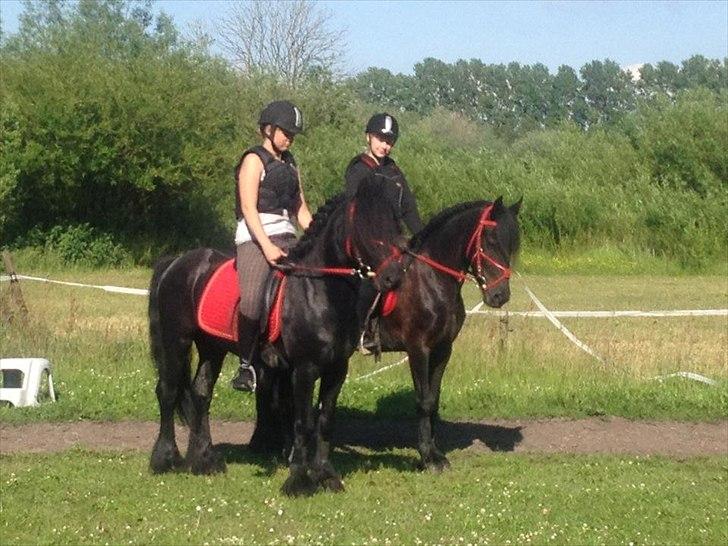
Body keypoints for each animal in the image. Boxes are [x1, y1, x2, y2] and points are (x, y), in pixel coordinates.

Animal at [147, 175, 404, 496]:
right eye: (365, 226)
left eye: (394, 222)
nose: (393, 277)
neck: (318, 290)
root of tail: (175, 262)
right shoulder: (304, 369)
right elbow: (302, 421)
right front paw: (299, 480)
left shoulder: (336, 369)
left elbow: (325, 420)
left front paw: (327, 476)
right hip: (176, 341)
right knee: (168, 392)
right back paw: (165, 459)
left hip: (212, 348)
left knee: (200, 393)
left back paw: (203, 460)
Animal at [375, 197, 521, 471]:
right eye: (490, 240)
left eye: (511, 244)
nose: (500, 296)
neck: (430, 280)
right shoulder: (418, 349)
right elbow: (423, 401)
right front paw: (427, 457)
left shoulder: (442, 349)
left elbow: (433, 399)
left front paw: (436, 452)